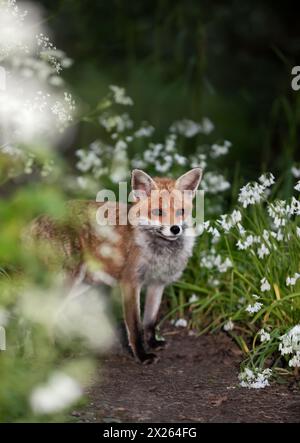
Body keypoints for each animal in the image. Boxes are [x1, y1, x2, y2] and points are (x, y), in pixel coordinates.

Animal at [29, 166, 203, 364]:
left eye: (181, 211)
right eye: (158, 212)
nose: (175, 229)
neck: (160, 251)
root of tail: (36, 220)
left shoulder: (157, 283)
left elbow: (150, 321)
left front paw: (153, 342)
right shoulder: (130, 282)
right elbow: (135, 327)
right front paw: (142, 355)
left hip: (80, 285)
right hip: (68, 280)